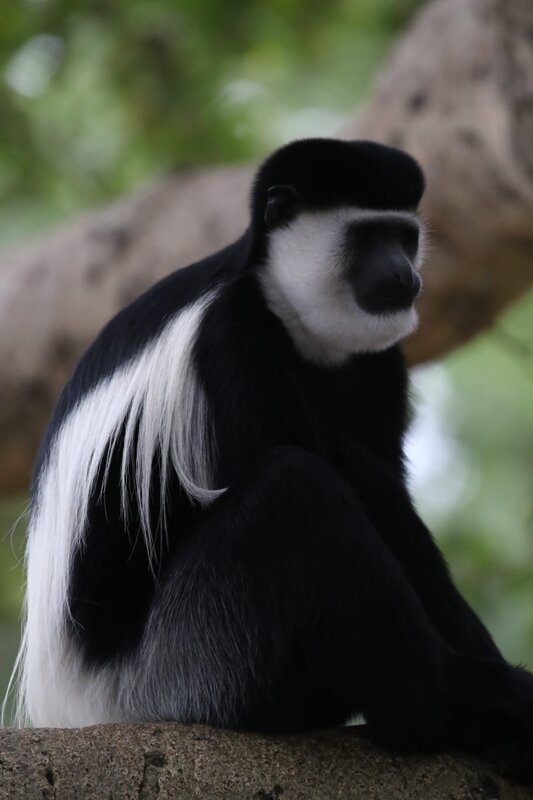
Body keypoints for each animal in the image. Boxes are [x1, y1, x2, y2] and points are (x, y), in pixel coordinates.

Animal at [14, 138, 533, 782]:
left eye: (405, 236)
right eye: (367, 237)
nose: (405, 275)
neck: (290, 318)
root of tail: (81, 705)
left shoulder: (381, 363)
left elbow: (388, 496)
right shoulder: (229, 333)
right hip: (187, 666)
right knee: (294, 489)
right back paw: (447, 708)